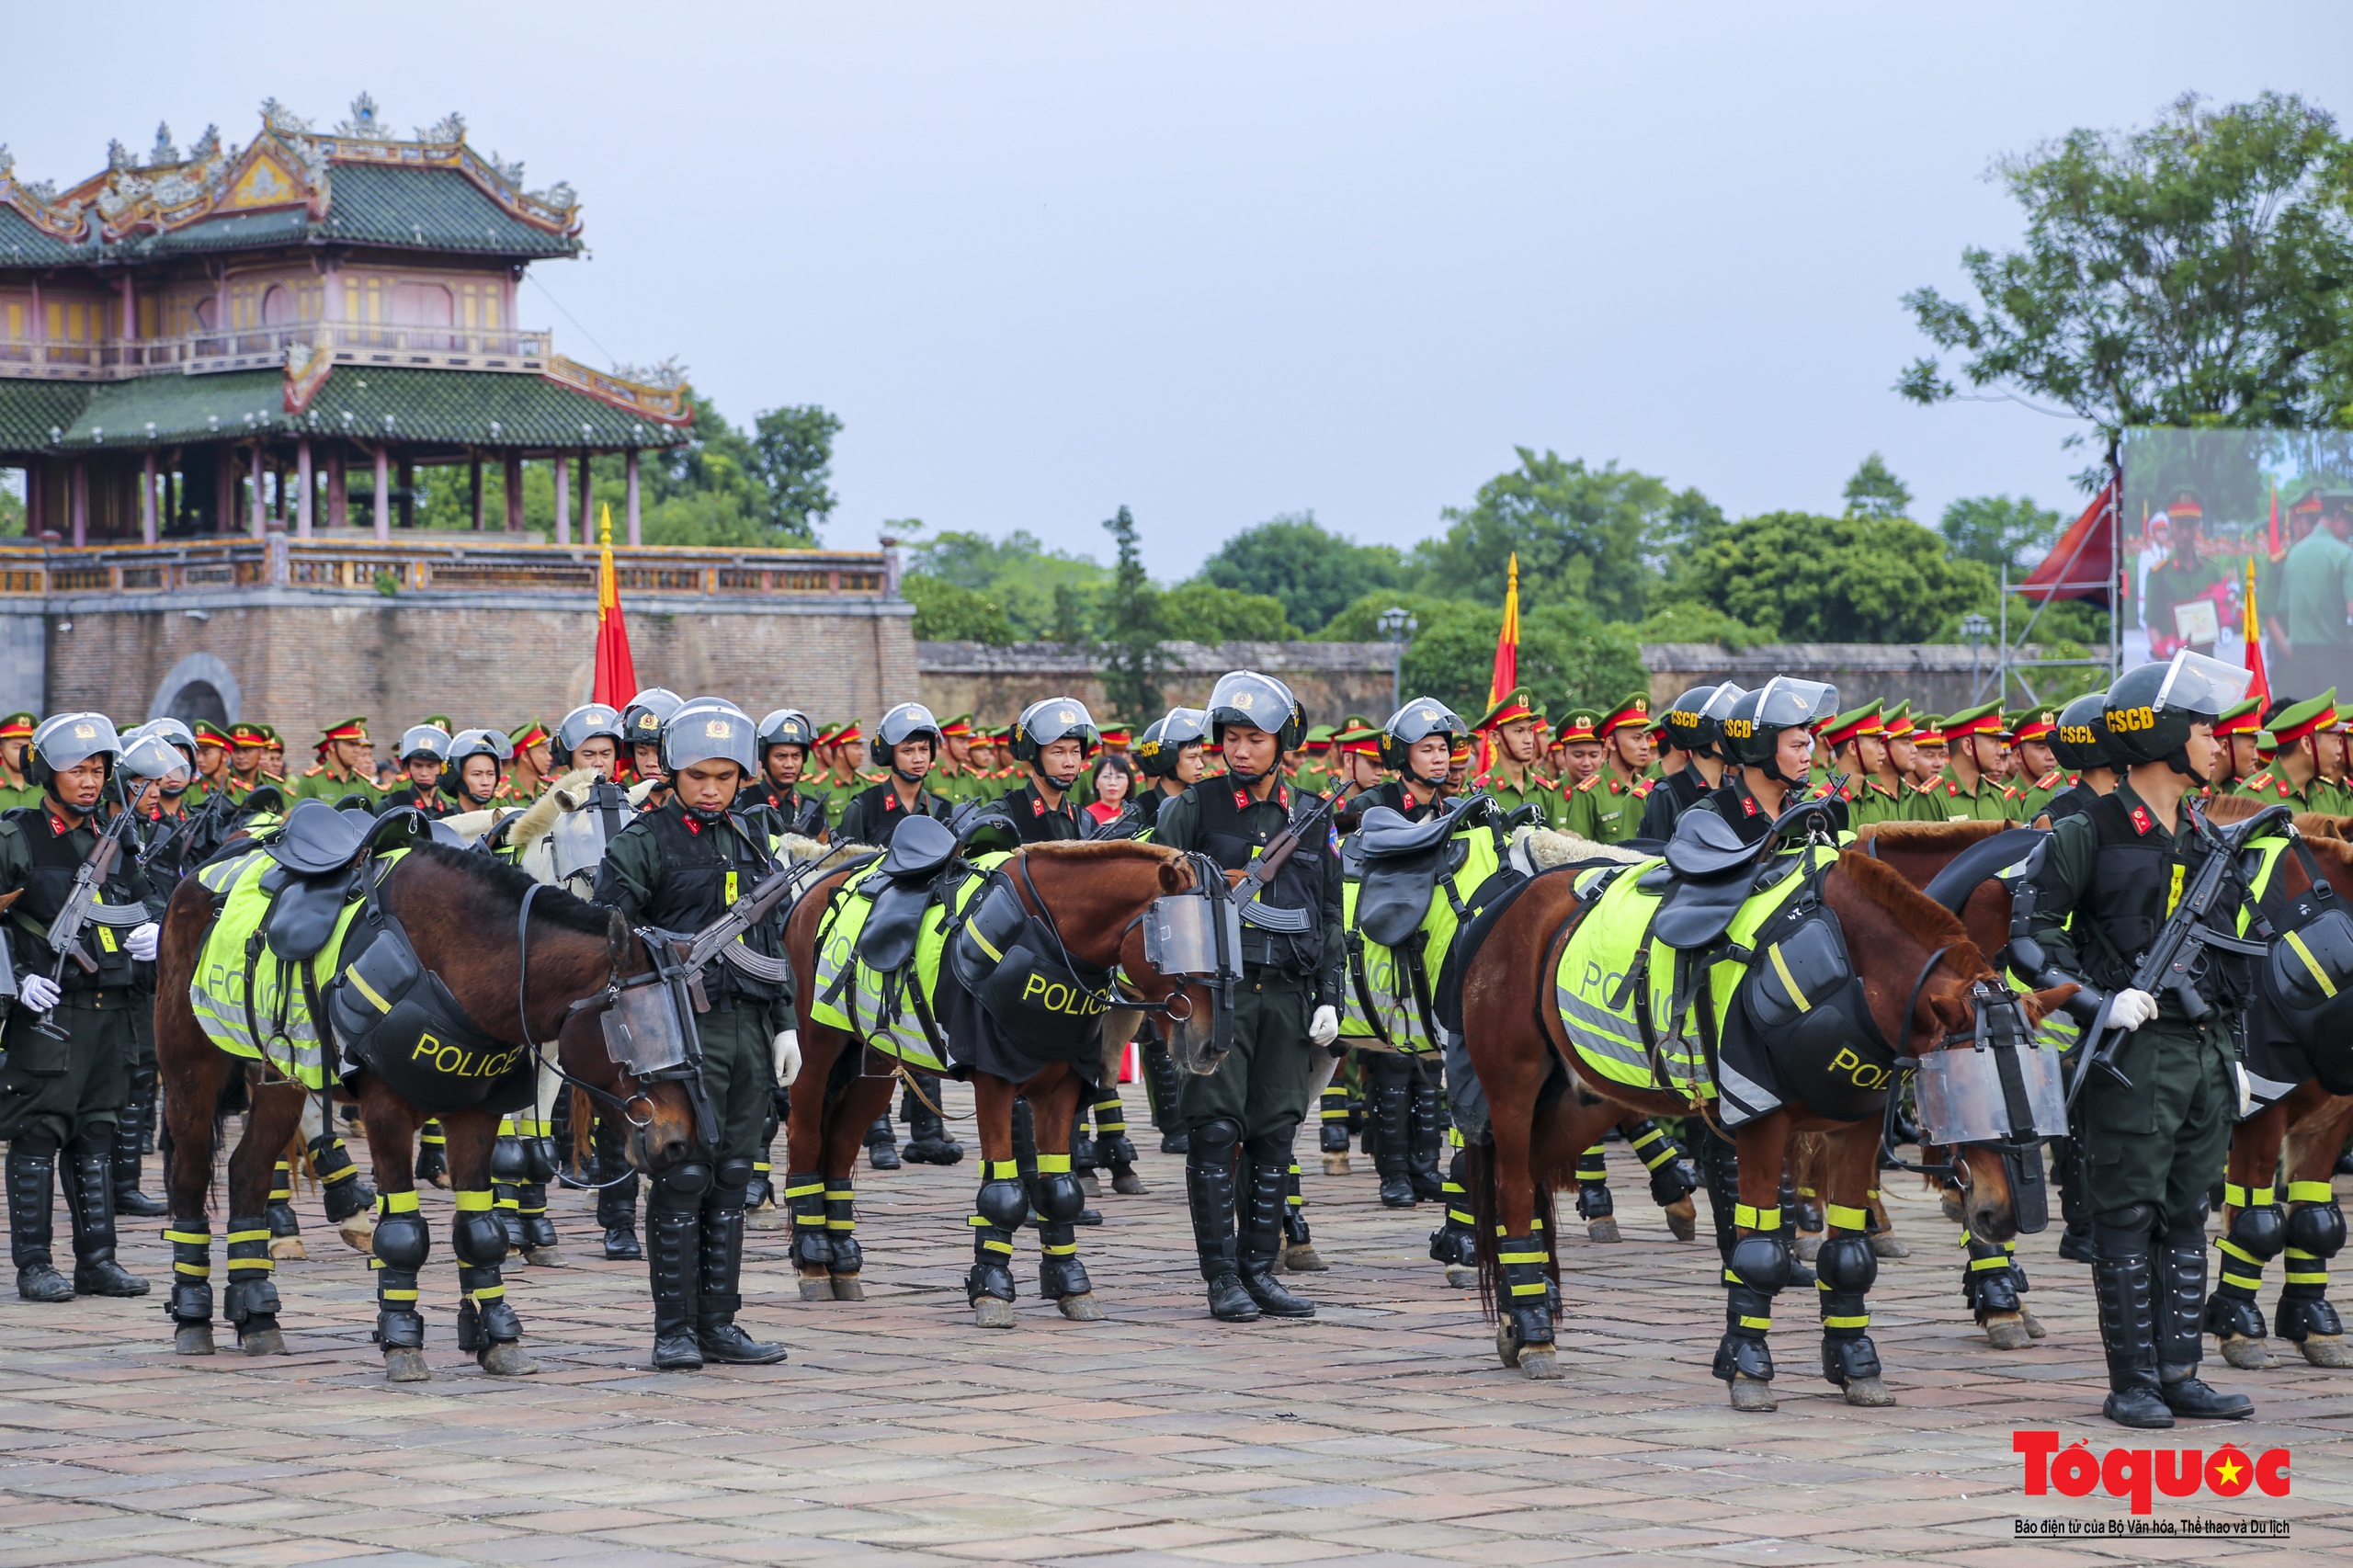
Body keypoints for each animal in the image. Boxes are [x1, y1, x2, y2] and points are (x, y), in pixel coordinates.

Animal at [153, 837, 696, 1374]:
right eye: (635, 1029)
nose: (677, 1141)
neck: (457, 960)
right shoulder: (386, 1115)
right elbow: (403, 1233)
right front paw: (401, 1341)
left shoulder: (476, 1116)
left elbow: (480, 1230)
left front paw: (498, 1336)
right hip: (189, 1070)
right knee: (191, 1175)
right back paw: (193, 1316)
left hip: (279, 1079)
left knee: (247, 1171)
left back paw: (257, 1316)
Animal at [790, 828, 1223, 1318]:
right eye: (1173, 940)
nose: (1210, 1044)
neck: (1044, 935)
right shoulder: (994, 1083)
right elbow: (1004, 1192)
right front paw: (992, 1290)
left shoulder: (1062, 1086)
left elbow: (1060, 1190)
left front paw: (1071, 1284)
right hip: (818, 1048)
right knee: (805, 1134)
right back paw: (813, 1260)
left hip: (875, 1063)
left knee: (840, 1145)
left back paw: (842, 1262)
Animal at [1459, 847, 2070, 1412]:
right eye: (1964, 1090)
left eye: (2046, 1085)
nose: (2006, 1214)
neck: (1848, 967)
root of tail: (1518, 898)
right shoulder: (1759, 1119)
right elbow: (1761, 1255)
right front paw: (1747, 1368)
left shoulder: (1856, 1127)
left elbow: (1849, 1257)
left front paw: (1856, 1364)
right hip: (1514, 1091)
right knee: (1513, 1193)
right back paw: (1534, 1333)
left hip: (1587, 1096)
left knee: (1532, 1178)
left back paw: (1520, 1318)